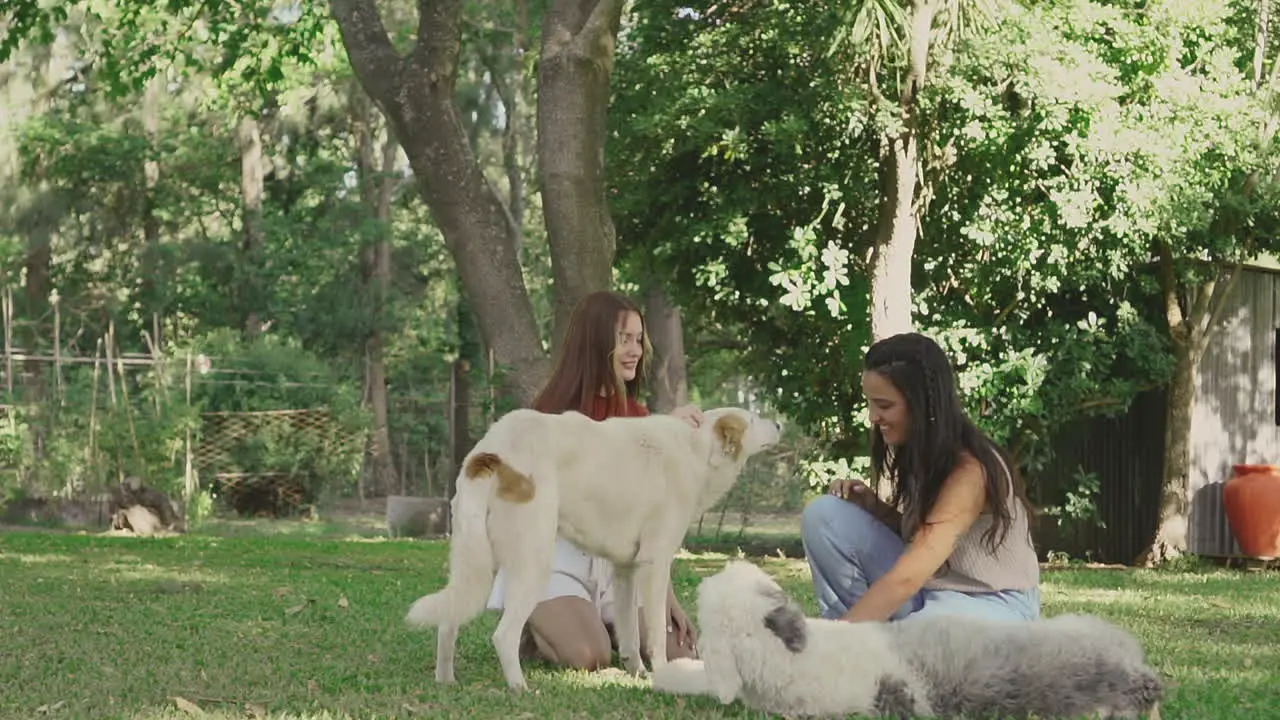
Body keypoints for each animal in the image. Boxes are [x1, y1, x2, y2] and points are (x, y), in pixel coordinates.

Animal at [404, 407, 778, 686]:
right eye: (753, 418)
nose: (778, 423)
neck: (697, 449)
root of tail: (491, 450)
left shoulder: (627, 570)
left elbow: (631, 635)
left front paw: (638, 673)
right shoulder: (655, 565)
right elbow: (657, 635)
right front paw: (662, 674)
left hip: (477, 560)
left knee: (448, 622)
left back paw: (446, 681)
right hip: (533, 563)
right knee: (503, 635)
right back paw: (520, 688)